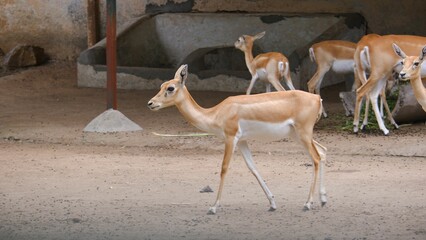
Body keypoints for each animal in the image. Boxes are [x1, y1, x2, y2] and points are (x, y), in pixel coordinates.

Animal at [148, 64, 328, 215]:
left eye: (170, 88)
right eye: (161, 85)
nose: (151, 103)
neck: (216, 113)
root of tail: (317, 99)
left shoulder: (230, 138)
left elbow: (224, 168)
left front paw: (213, 207)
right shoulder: (242, 141)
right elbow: (253, 168)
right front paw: (272, 204)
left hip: (303, 134)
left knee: (316, 158)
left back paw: (308, 203)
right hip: (298, 135)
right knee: (323, 152)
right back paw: (323, 200)